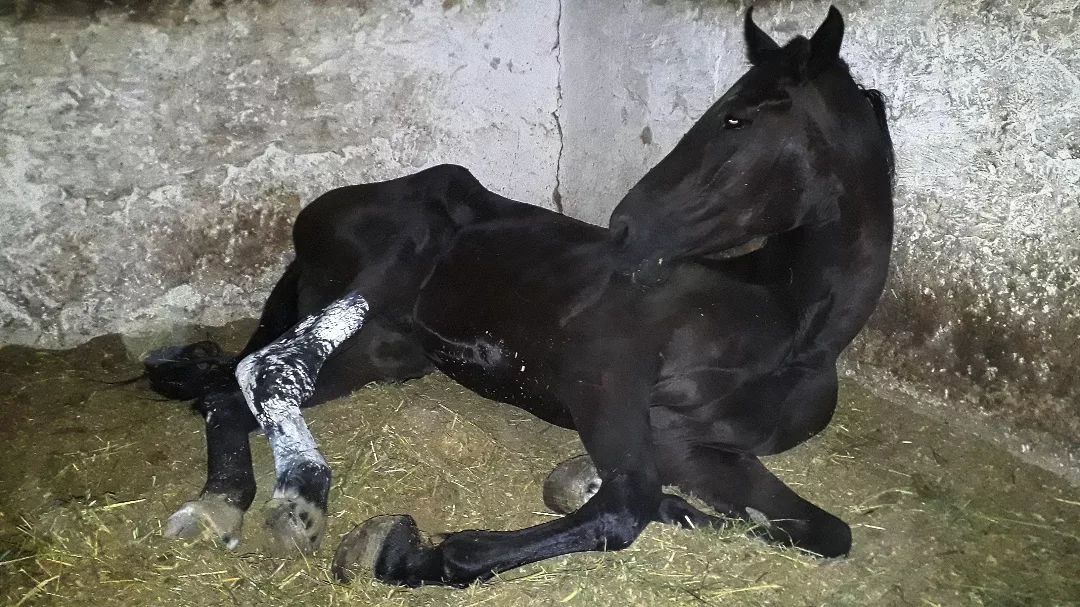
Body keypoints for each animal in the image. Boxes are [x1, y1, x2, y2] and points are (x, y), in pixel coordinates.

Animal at [144, 6, 894, 587]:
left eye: (738, 120)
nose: (626, 226)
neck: (788, 326)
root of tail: (315, 216)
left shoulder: (698, 447)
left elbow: (826, 533)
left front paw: (586, 483)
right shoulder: (605, 379)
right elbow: (627, 505)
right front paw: (409, 553)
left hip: (383, 355)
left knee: (227, 398)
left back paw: (225, 502)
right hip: (381, 278)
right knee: (262, 372)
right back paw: (291, 503)